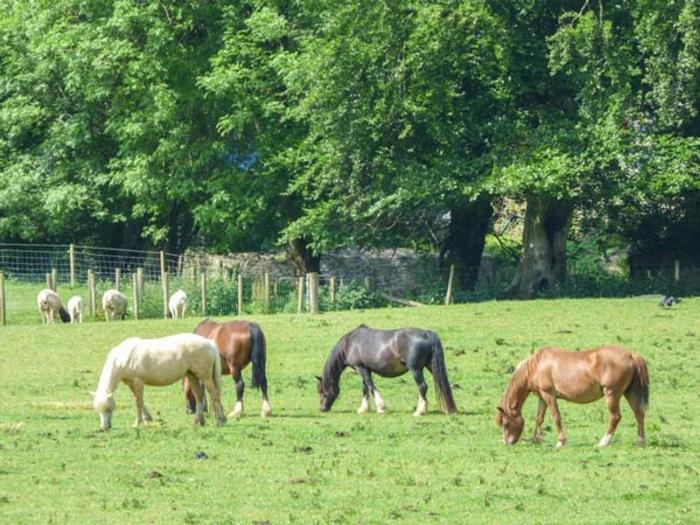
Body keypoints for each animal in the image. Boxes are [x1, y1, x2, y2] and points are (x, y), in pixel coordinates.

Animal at [91, 334, 226, 428]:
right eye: (98, 410)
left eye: (109, 409)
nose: (105, 428)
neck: (124, 357)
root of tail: (209, 343)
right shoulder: (131, 383)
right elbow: (140, 401)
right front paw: (147, 419)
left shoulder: (138, 381)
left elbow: (138, 402)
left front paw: (137, 423)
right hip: (191, 375)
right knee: (199, 396)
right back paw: (199, 421)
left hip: (205, 376)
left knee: (214, 394)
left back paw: (219, 421)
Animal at [318, 324, 460, 414]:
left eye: (321, 391)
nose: (322, 408)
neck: (350, 343)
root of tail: (426, 333)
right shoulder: (365, 369)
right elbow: (365, 388)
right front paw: (363, 409)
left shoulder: (361, 368)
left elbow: (370, 386)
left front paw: (380, 407)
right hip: (430, 366)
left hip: (416, 370)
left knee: (422, 387)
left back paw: (419, 411)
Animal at [494, 344, 648, 446]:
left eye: (506, 423)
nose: (507, 443)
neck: (536, 366)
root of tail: (631, 355)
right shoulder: (542, 397)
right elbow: (539, 419)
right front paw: (535, 440)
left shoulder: (549, 395)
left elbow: (556, 417)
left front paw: (561, 442)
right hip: (630, 392)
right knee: (639, 414)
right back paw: (640, 441)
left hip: (612, 394)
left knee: (615, 417)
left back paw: (603, 442)